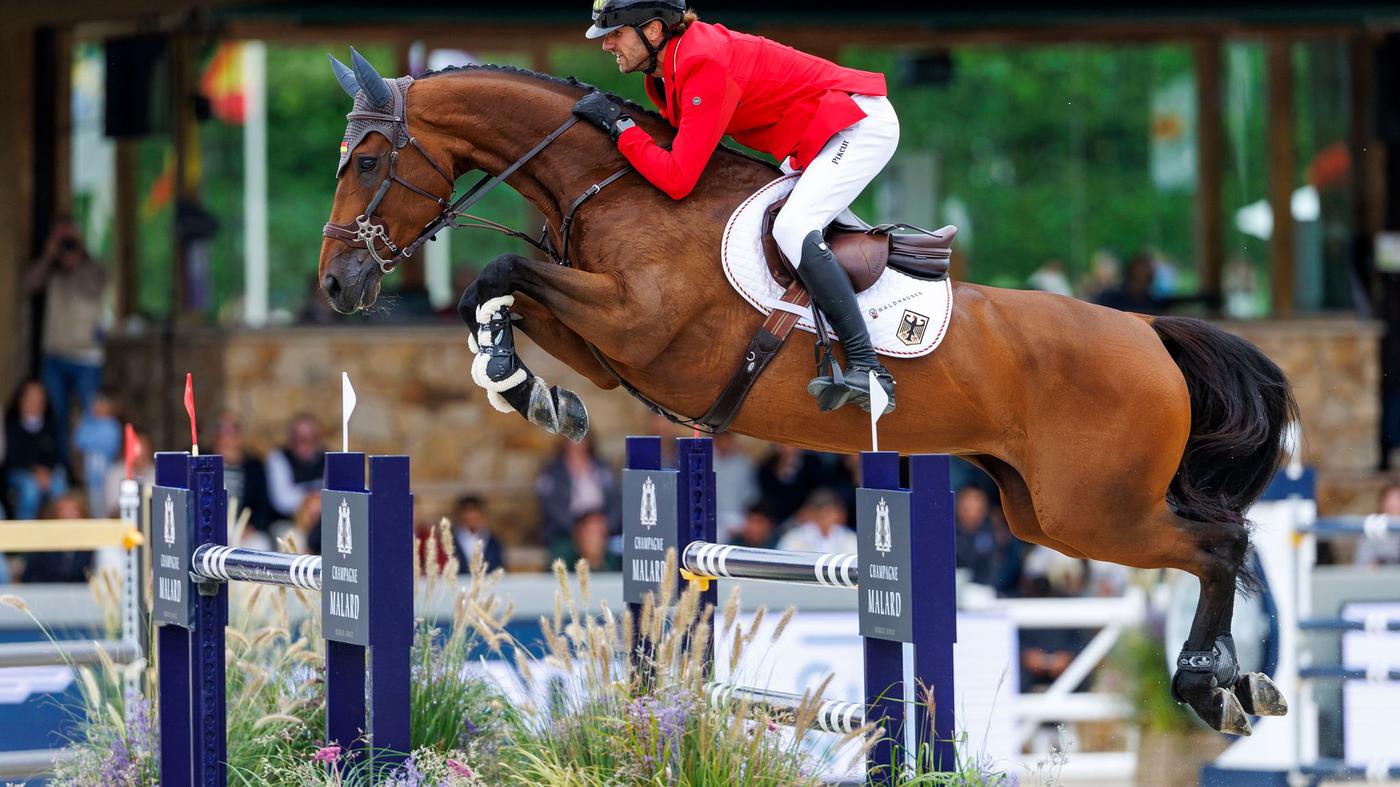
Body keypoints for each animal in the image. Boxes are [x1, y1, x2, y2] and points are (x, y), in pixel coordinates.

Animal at [318, 52, 1298, 736]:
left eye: (365, 160)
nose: (336, 284)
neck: (618, 186)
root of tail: (1149, 333)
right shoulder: (609, 346)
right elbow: (506, 293)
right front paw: (526, 389)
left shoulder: (639, 327)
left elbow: (500, 270)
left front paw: (517, 383)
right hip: (1042, 513)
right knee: (1215, 542)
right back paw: (1232, 683)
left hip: (1096, 510)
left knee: (1221, 542)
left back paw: (1212, 685)